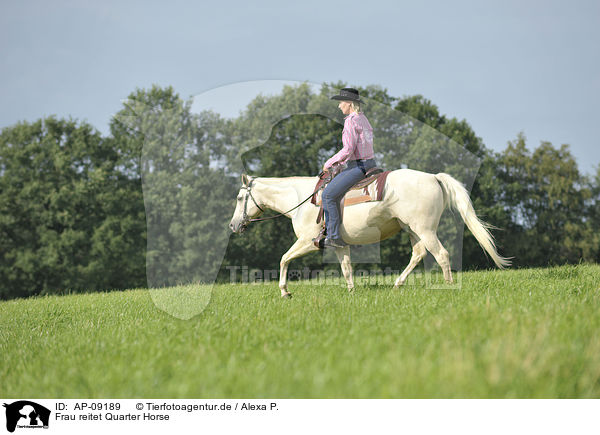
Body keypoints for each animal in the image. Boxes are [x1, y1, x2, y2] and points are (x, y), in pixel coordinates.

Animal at [227, 169, 508, 298]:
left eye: (240, 198)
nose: (233, 225)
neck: (301, 199)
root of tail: (433, 177)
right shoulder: (339, 245)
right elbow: (346, 268)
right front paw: (352, 292)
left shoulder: (308, 241)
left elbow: (284, 259)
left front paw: (285, 291)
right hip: (412, 230)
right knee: (418, 254)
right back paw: (397, 284)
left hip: (425, 229)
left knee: (441, 255)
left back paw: (448, 287)